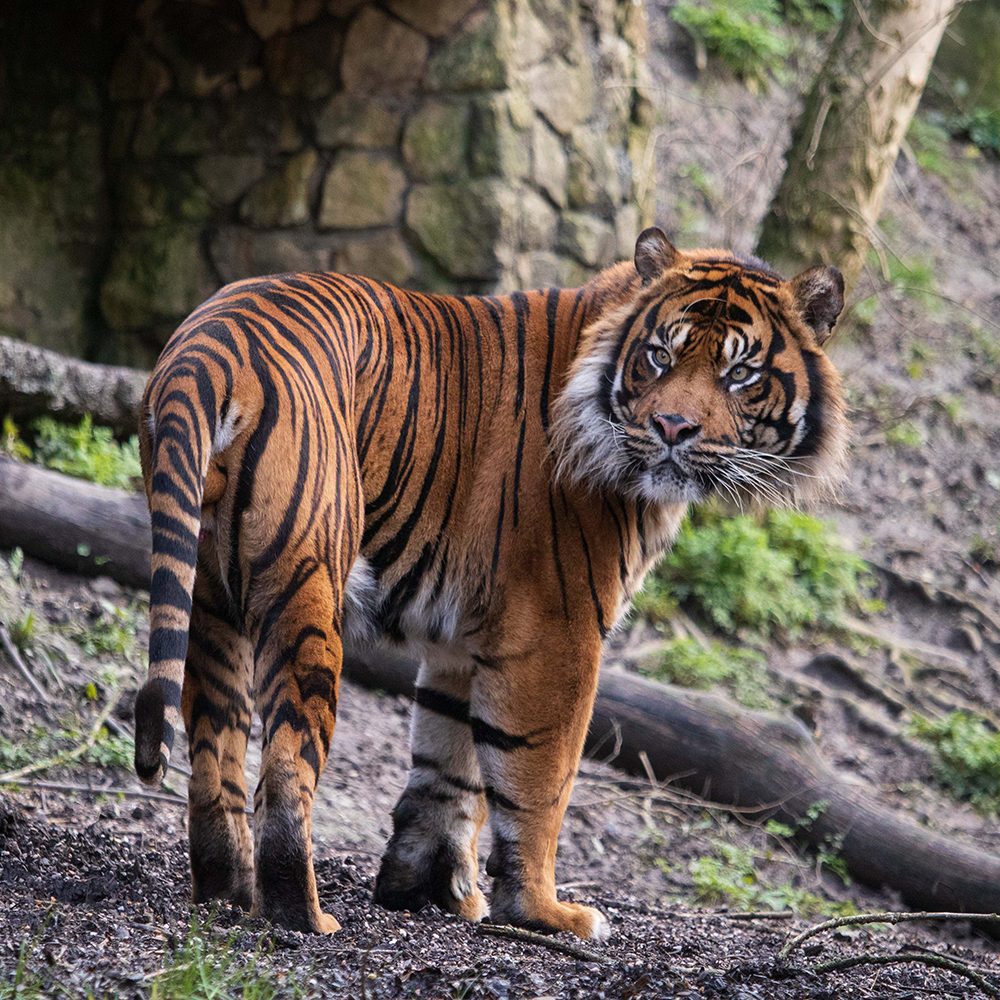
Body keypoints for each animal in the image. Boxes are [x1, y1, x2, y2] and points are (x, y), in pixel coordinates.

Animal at [133, 230, 848, 940]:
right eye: (659, 355)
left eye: (740, 373)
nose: (672, 428)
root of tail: (209, 347)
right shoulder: (557, 629)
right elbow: (538, 778)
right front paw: (543, 913)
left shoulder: (463, 635)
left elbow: (449, 763)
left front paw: (427, 889)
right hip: (307, 584)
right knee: (285, 765)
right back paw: (303, 914)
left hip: (211, 596)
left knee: (215, 751)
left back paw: (227, 891)